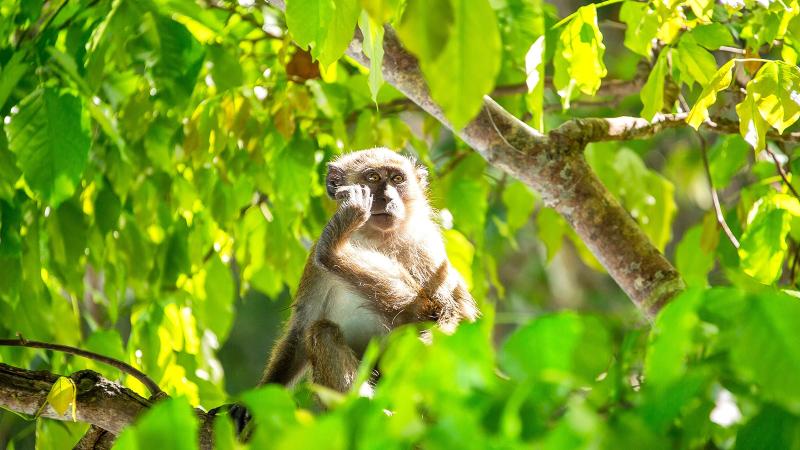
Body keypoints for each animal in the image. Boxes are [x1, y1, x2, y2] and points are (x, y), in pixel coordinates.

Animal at [227, 147, 478, 432]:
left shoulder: (426, 247)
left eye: (397, 179)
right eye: (373, 177)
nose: (388, 197)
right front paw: (250, 404)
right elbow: (302, 329)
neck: (374, 238)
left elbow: (453, 313)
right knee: (322, 332)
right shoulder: (313, 262)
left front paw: (335, 248)